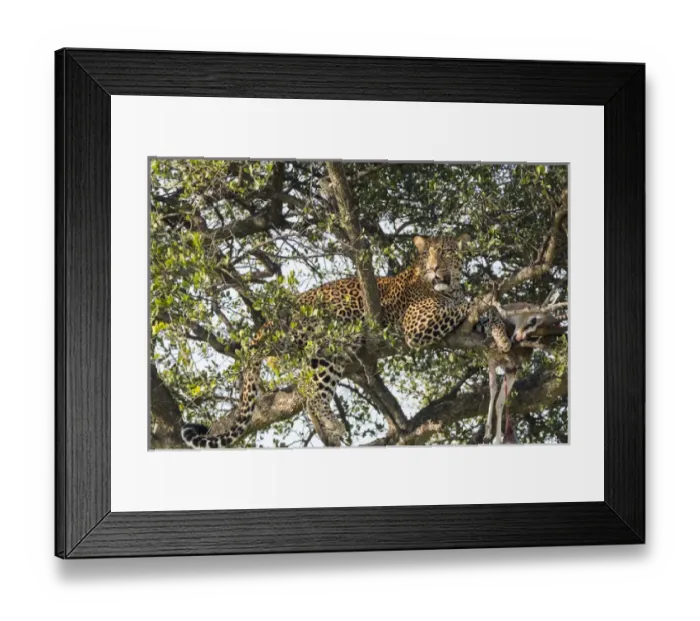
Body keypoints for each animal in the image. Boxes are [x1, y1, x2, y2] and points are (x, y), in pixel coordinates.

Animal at [181, 233, 513, 449]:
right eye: (426, 254)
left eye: (444, 252)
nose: (433, 268)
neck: (448, 285)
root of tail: (271, 323)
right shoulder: (416, 324)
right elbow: (467, 305)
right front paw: (487, 309)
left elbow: (484, 311)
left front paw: (502, 335)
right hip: (329, 342)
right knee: (312, 392)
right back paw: (335, 425)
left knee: (307, 390)